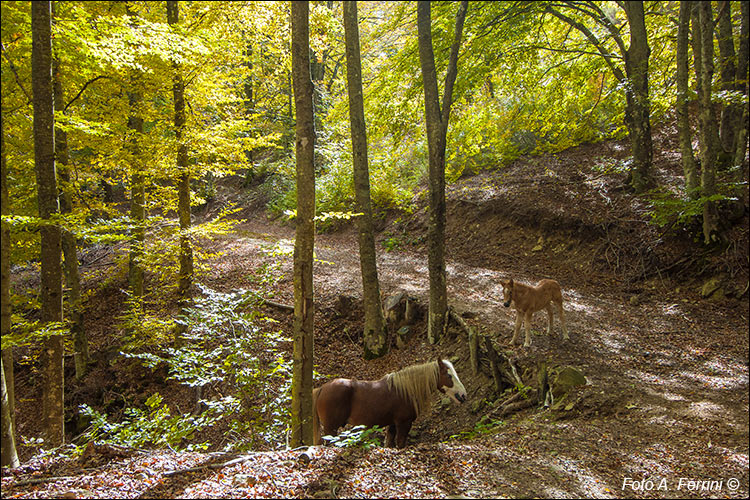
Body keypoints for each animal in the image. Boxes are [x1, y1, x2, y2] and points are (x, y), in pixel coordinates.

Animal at [310, 360, 464, 450]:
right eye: (449, 375)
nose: (463, 395)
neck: (405, 390)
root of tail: (322, 388)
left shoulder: (393, 424)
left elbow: (389, 443)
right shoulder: (404, 423)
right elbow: (400, 444)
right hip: (331, 429)